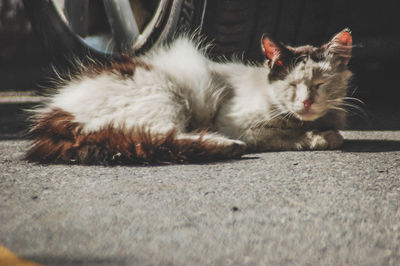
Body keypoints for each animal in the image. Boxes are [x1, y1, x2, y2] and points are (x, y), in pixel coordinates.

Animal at [25, 28, 354, 164]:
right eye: (293, 85)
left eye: (320, 85)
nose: (306, 102)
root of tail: (55, 115)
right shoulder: (239, 123)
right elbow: (287, 135)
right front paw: (322, 137)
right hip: (164, 97)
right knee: (152, 137)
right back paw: (226, 146)